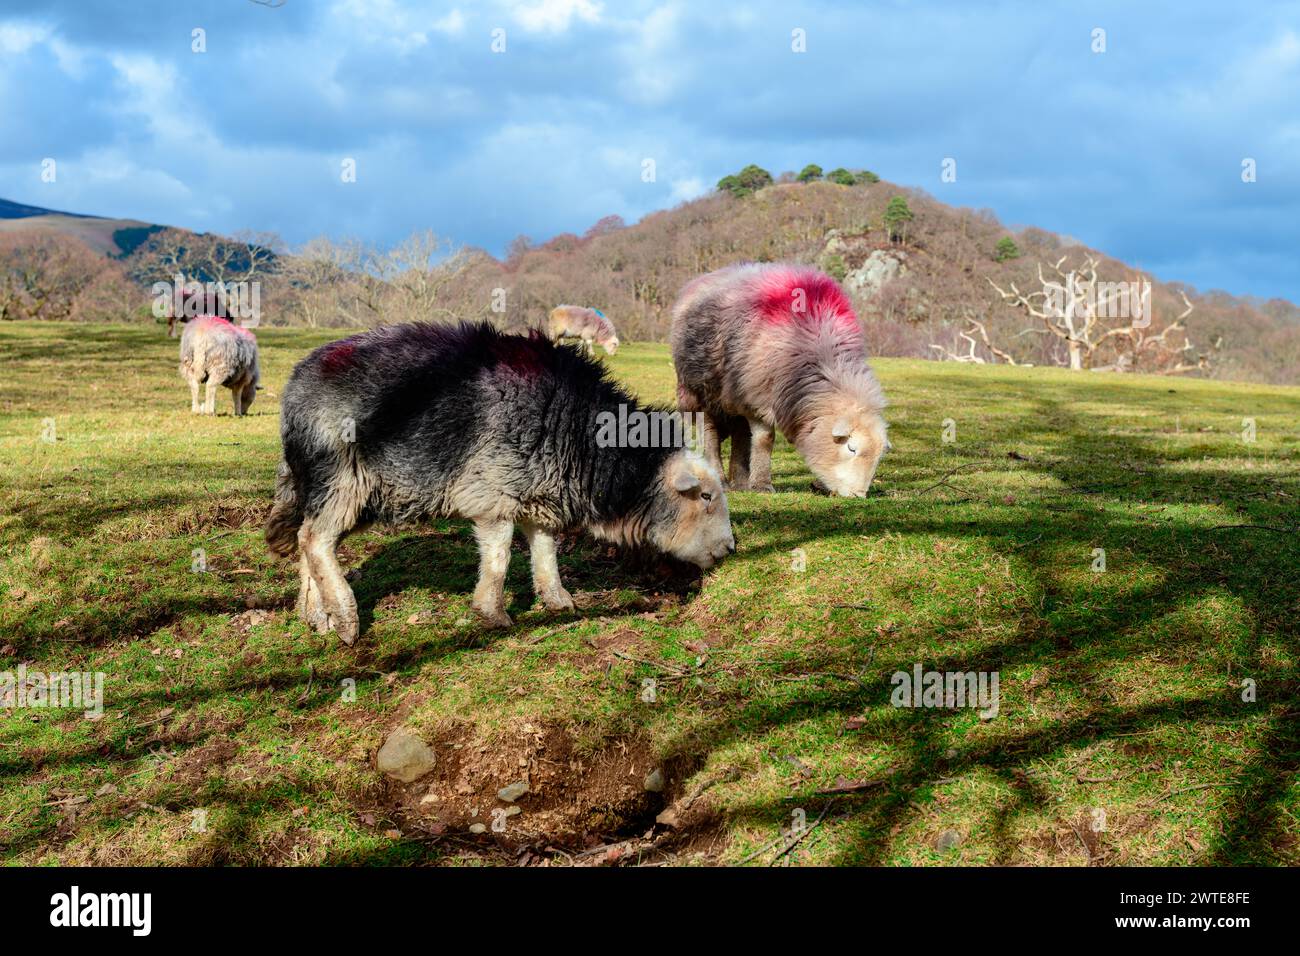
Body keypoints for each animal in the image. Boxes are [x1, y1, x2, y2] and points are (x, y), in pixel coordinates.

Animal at [263, 321, 733, 642]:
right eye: (706, 496)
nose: (730, 549)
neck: (581, 435)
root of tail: (295, 386)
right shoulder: (492, 495)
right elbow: (500, 558)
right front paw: (493, 613)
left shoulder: (539, 496)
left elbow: (546, 552)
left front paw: (558, 601)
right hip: (341, 477)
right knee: (315, 540)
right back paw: (345, 619)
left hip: (336, 488)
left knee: (309, 539)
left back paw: (316, 615)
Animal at [665, 264, 889, 496]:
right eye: (851, 448)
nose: (859, 495)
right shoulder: (758, 396)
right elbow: (765, 440)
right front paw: (763, 485)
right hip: (700, 390)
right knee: (709, 433)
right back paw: (722, 479)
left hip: (735, 393)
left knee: (740, 433)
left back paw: (741, 482)